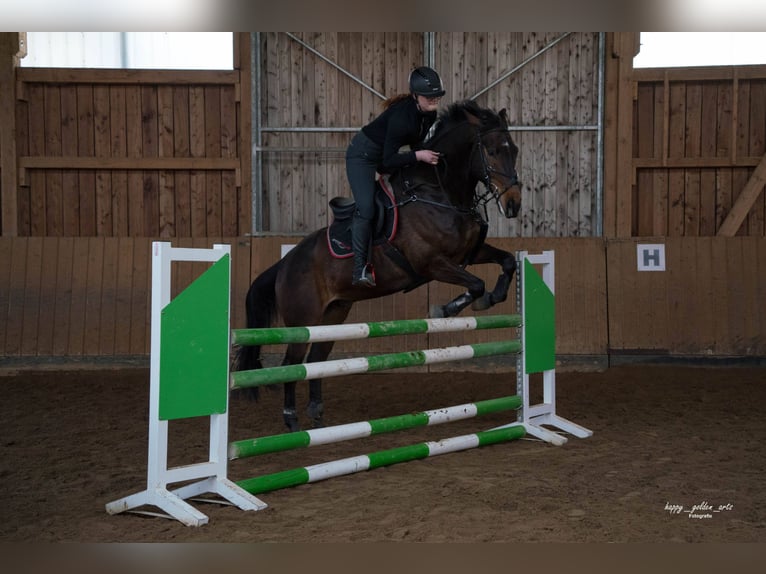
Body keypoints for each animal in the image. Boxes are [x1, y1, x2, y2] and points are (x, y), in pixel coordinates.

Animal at [235, 99, 522, 432]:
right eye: (492, 151)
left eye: (514, 150)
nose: (513, 204)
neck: (440, 192)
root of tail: (283, 265)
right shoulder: (431, 263)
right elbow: (475, 284)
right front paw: (446, 309)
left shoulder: (468, 254)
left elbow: (507, 262)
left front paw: (491, 299)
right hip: (302, 320)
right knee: (291, 365)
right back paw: (292, 421)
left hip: (334, 314)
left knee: (317, 357)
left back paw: (316, 411)